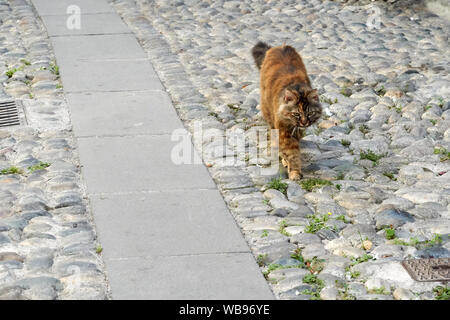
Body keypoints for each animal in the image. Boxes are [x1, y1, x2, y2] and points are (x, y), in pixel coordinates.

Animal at [251, 41, 322, 180]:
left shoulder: (297, 132)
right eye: (296, 114)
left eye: (310, 113)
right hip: (269, 113)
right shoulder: (284, 131)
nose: (304, 122)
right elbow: (292, 153)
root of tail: (279, 46)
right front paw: (294, 172)